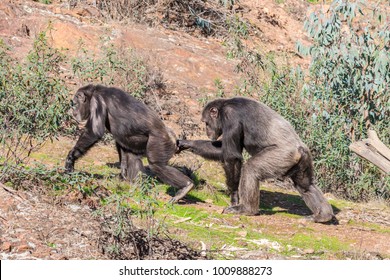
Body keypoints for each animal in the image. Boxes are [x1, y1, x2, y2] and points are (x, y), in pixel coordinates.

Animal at [64, 84, 194, 202]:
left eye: (75, 103)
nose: (73, 112)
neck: (93, 93)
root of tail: (173, 138)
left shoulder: (97, 102)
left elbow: (94, 132)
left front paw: (70, 159)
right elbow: (121, 146)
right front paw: (122, 173)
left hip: (160, 142)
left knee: (157, 165)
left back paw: (186, 187)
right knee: (133, 158)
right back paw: (136, 186)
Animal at [178, 97, 334, 222]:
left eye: (206, 123)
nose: (206, 130)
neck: (224, 107)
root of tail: (299, 149)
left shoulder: (230, 118)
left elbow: (232, 156)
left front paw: (234, 197)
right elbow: (222, 150)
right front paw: (186, 143)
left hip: (281, 156)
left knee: (251, 169)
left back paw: (247, 209)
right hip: (303, 162)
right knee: (306, 186)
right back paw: (323, 215)